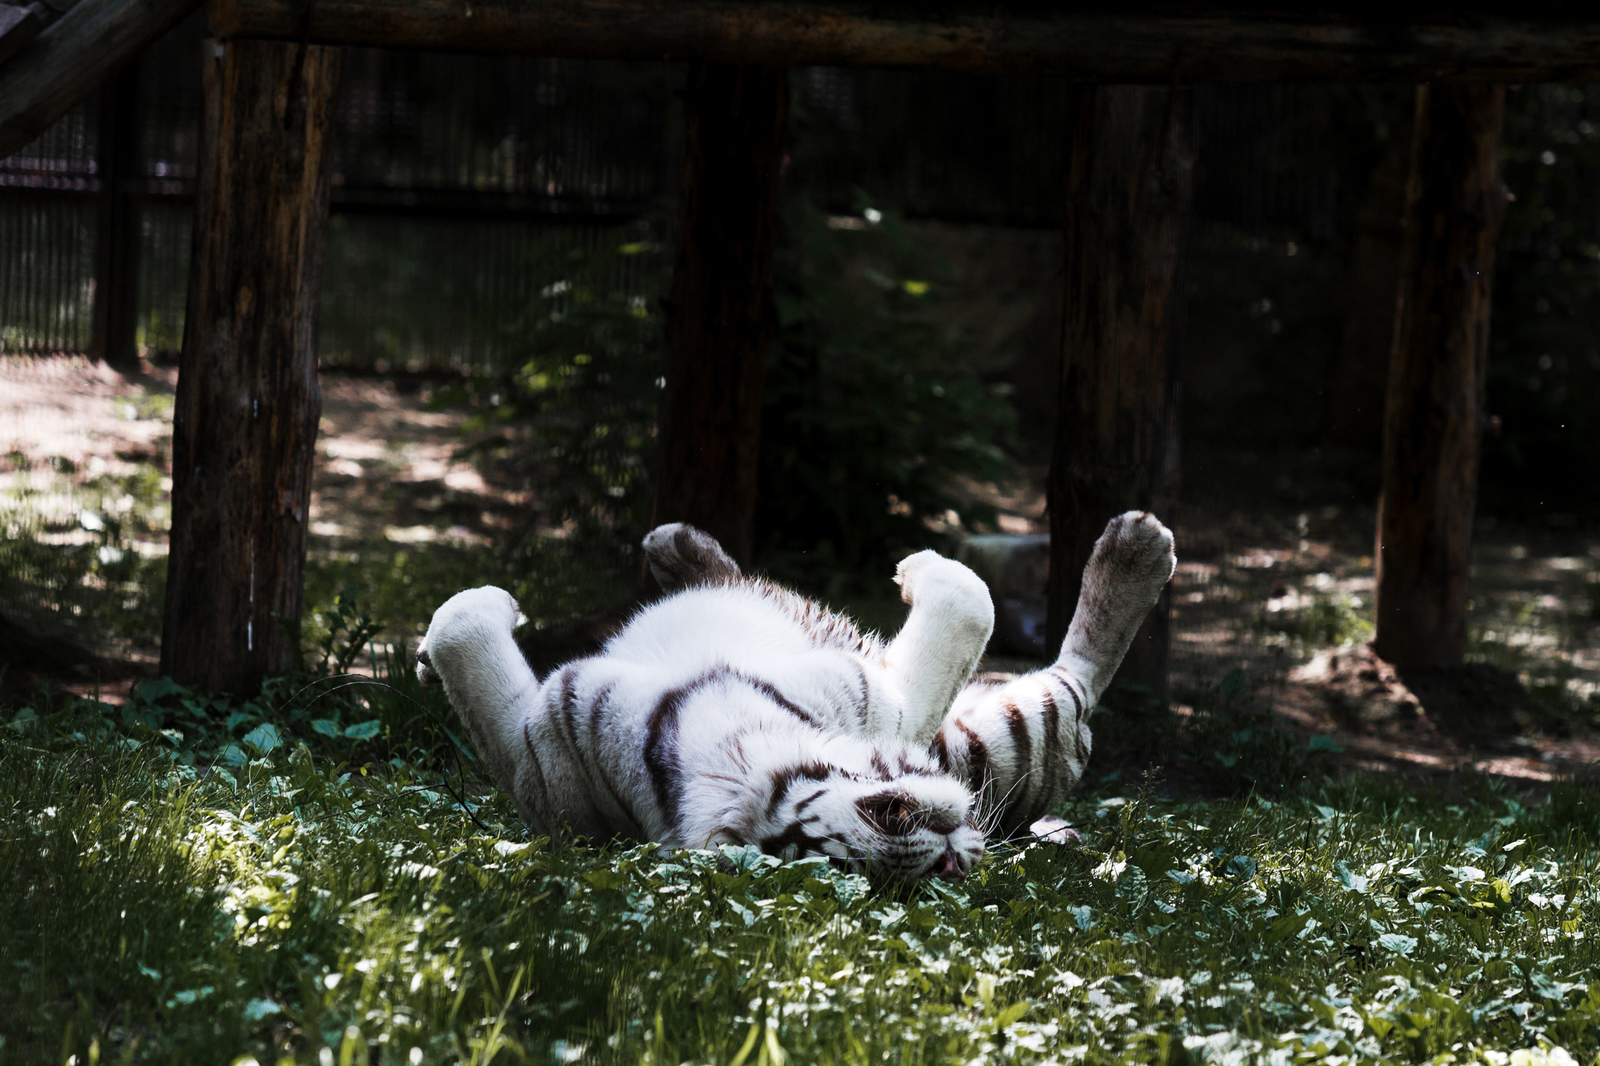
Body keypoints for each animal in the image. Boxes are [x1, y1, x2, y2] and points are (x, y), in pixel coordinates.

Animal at [416, 512, 1177, 877]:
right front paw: (921, 566)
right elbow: (971, 598)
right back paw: (1137, 547)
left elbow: (458, 629)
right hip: (1003, 737)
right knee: (1078, 680)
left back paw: (676, 551)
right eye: (896, 820)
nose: (960, 843)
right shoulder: (531, 757)